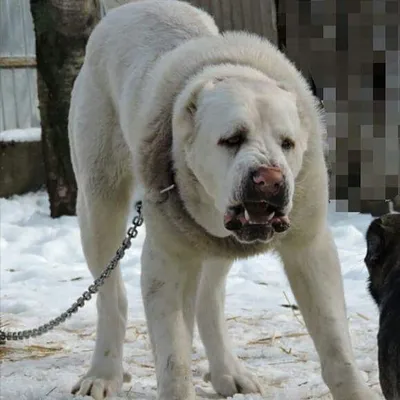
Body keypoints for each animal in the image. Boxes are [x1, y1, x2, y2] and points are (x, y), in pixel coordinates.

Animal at [68, 1, 378, 398]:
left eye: (288, 143)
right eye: (231, 139)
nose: (270, 180)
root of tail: (127, 9)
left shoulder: (310, 249)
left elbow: (337, 348)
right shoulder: (167, 262)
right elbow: (174, 362)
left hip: (216, 245)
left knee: (208, 300)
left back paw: (227, 371)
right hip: (100, 201)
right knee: (111, 297)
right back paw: (103, 373)